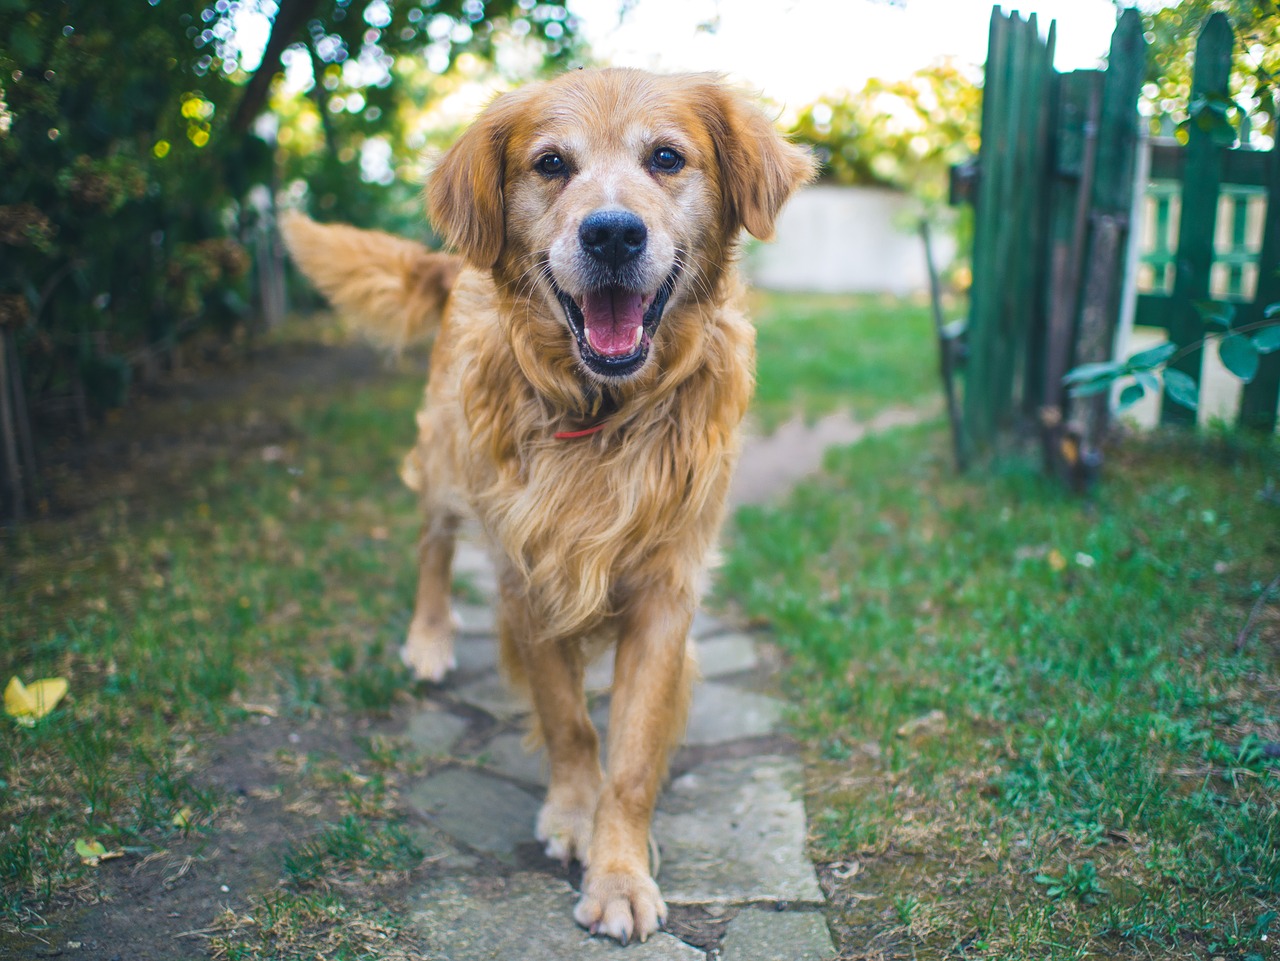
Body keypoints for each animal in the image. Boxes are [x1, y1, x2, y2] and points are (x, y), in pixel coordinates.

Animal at [286, 69, 814, 946]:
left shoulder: (666, 592)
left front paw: (619, 868)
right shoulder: (526, 575)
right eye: (551, 164)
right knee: (432, 546)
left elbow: (630, 753)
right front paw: (574, 813)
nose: (612, 235)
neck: (603, 413)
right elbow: (570, 720)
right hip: (446, 463)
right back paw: (429, 639)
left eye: (666, 158)